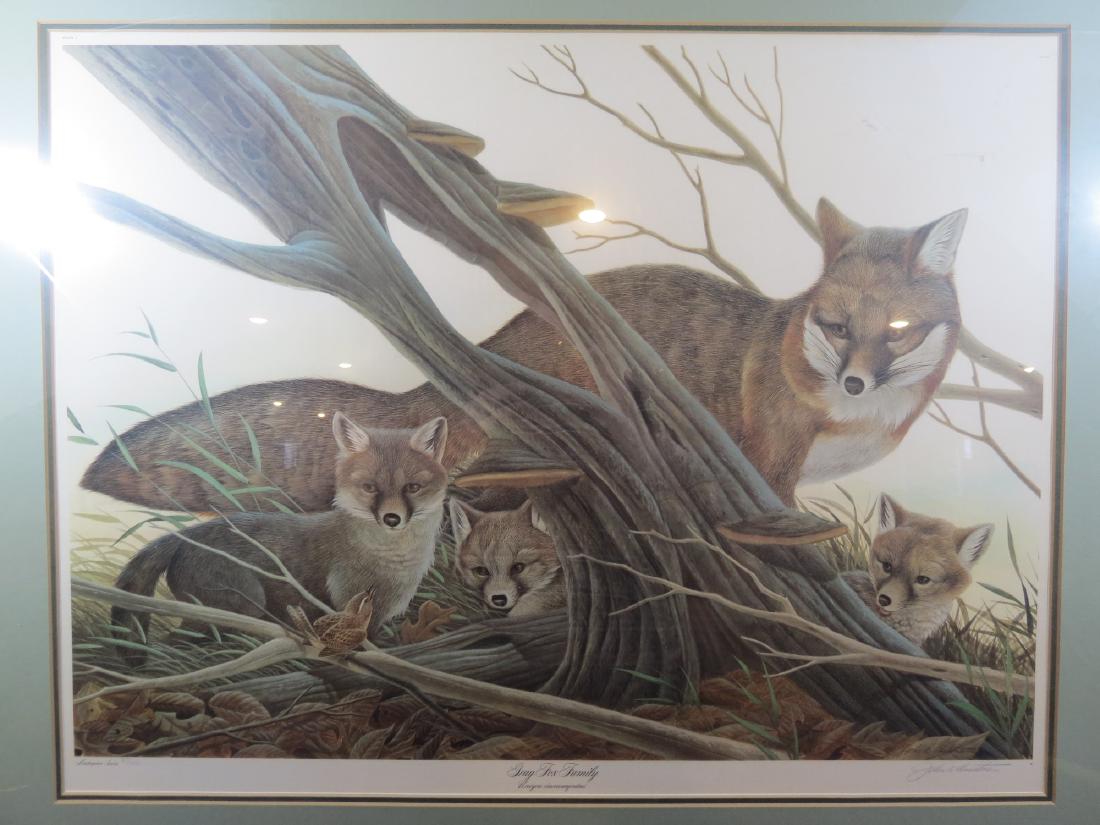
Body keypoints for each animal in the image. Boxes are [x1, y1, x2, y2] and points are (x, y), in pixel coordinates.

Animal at [109, 412, 448, 661]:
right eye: (369, 488)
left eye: (412, 488)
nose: (392, 519)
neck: (392, 560)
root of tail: (185, 536)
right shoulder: (348, 603)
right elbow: (363, 643)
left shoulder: (381, 611)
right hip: (240, 608)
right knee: (179, 643)